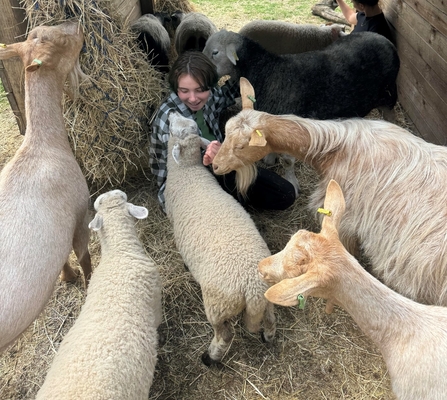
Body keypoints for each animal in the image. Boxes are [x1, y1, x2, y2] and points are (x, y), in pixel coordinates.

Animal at [0, 22, 92, 354]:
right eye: (59, 42)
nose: (79, 26)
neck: (42, 144)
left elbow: (64, 258)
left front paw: (67, 276)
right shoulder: (79, 216)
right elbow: (85, 257)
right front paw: (86, 280)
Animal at [165, 111, 276, 366]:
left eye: (179, 129)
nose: (171, 112)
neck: (188, 172)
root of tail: (252, 287)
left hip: (218, 304)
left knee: (224, 335)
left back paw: (210, 357)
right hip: (264, 297)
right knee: (270, 318)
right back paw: (267, 336)